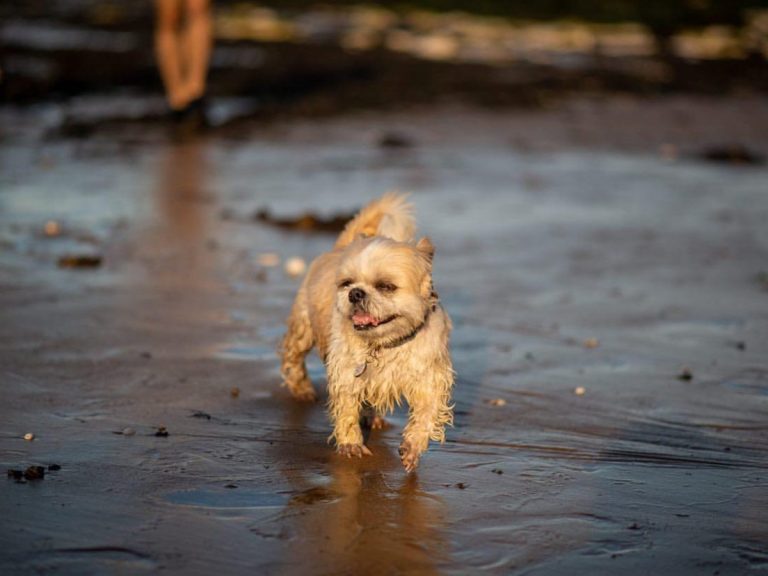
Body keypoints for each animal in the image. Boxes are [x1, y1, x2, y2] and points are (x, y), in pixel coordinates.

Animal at [280, 194, 452, 472]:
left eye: (386, 286)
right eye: (346, 283)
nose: (355, 293)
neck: (386, 343)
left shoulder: (429, 377)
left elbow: (426, 413)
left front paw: (412, 447)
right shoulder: (346, 374)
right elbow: (347, 410)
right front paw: (351, 444)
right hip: (303, 328)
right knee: (293, 357)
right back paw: (301, 388)